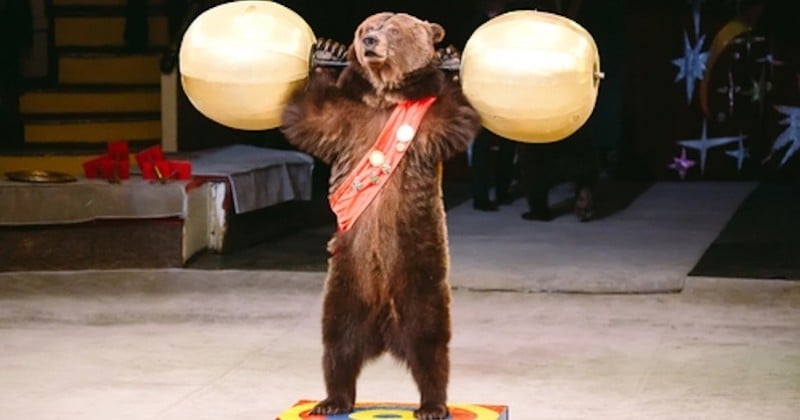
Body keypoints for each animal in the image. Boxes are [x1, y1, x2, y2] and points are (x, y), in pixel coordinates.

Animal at [282, 10, 482, 420]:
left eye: (394, 28)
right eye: (365, 28)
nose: (370, 41)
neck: (384, 96)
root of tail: (384, 325)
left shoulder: (425, 130)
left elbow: (455, 118)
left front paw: (451, 59)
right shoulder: (347, 122)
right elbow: (309, 118)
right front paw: (326, 52)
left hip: (421, 272)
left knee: (430, 345)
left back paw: (433, 404)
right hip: (345, 280)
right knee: (337, 343)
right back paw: (333, 399)